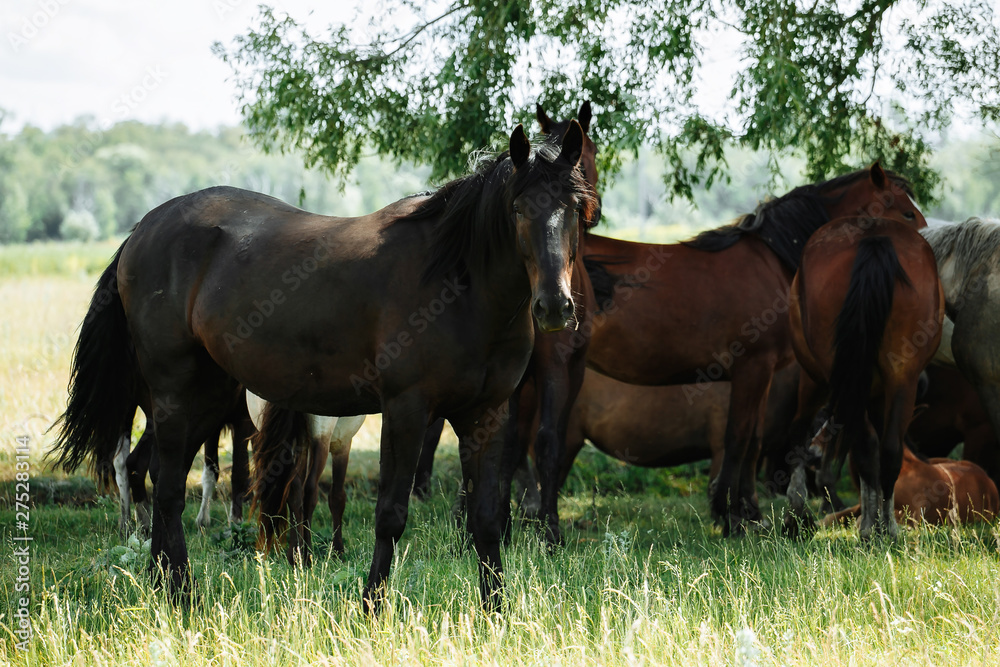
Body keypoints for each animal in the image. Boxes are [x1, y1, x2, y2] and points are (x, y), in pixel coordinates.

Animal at [52, 123, 597, 613]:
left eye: (574, 209)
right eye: (518, 209)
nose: (555, 307)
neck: (456, 285)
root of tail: (140, 232)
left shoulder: (487, 415)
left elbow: (485, 518)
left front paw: (495, 613)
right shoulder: (405, 410)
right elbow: (390, 514)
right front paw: (372, 607)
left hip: (205, 400)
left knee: (156, 479)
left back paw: (161, 586)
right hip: (175, 395)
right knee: (166, 491)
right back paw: (183, 596)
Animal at [582, 164, 927, 534]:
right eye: (907, 212)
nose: (925, 253)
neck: (771, 260)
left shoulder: (764, 373)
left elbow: (754, 439)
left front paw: (749, 511)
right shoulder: (751, 367)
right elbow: (737, 437)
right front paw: (727, 515)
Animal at [786, 216, 943, 539]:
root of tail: (874, 237)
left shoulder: (818, 378)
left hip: (831, 378)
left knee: (854, 443)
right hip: (901, 378)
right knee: (888, 449)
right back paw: (887, 529)